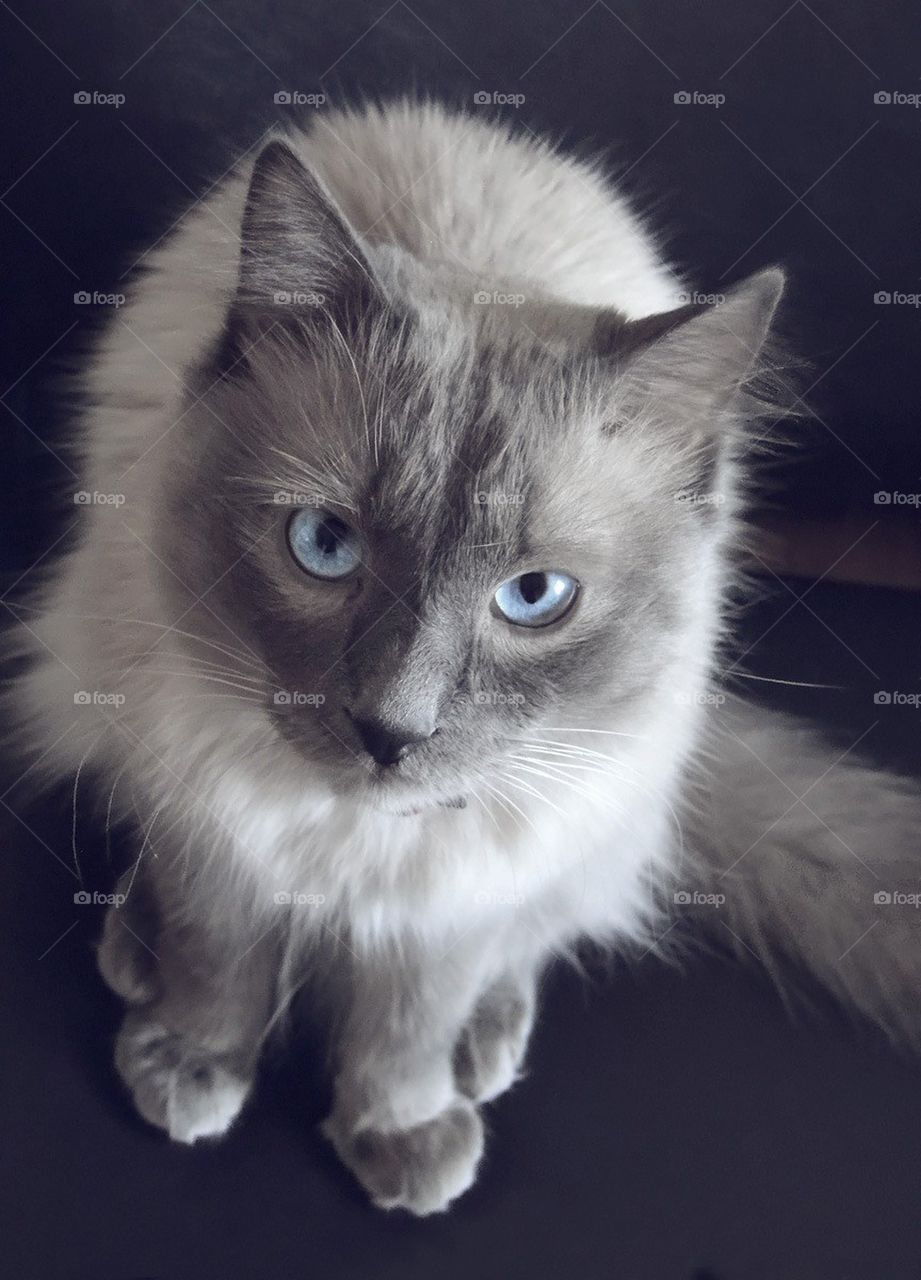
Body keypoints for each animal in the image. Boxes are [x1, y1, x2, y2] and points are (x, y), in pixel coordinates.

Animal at [8, 97, 921, 1208]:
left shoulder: (460, 885)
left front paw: (400, 1130)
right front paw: (188, 1063)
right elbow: (215, 961)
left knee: (545, 932)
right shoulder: (211, 823)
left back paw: (484, 1051)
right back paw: (134, 952)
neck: (352, 842)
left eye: (533, 598)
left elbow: (412, 1022)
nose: (389, 731)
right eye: (324, 544)